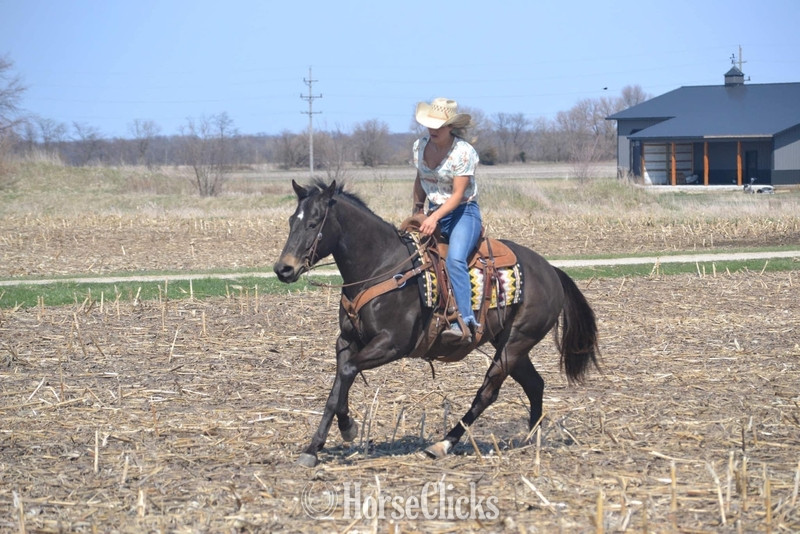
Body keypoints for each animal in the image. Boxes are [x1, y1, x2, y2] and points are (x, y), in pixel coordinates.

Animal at [273, 179, 599, 467]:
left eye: (314, 222)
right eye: (291, 221)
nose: (283, 269)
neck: (380, 266)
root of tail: (551, 270)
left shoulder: (392, 344)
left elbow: (348, 371)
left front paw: (330, 438)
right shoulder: (346, 340)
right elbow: (338, 385)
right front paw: (331, 436)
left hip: (515, 344)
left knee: (487, 393)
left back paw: (444, 444)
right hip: (509, 343)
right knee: (534, 384)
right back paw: (532, 438)